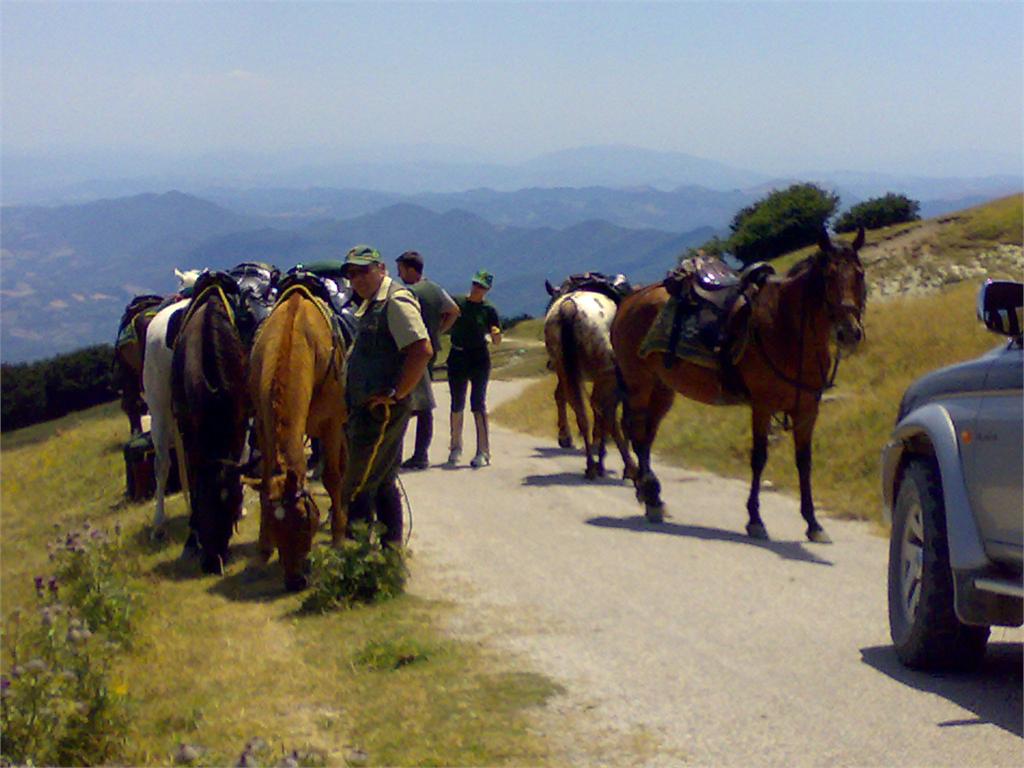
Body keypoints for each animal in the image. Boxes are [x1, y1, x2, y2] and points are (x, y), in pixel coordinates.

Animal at [247, 276, 348, 591]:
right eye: (273, 523)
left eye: (305, 520)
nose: (295, 581)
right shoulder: (264, 426)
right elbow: (266, 478)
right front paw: (262, 550)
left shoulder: (332, 423)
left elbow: (332, 477)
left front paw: (339, 539)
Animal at [543, 285, 638, 481]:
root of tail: (568, 307)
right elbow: (617, 418)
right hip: (604, 373)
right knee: (603, 412)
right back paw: (624, 467)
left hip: (566, 369)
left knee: (581, 412)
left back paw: (590, 465)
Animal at [610, 228, 866, 542]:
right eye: (829, 276)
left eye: (859, 274)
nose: (849, 332)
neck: (786, 329)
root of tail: (631, 299)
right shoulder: (762, 406)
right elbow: (759, 458)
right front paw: (755, 519)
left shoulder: (807, 410)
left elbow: (804, 461)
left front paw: (813, 523)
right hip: (639, 384)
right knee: (636, 435)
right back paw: (651, 497)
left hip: (662, 389)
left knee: (646, 437)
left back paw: (652, 497)